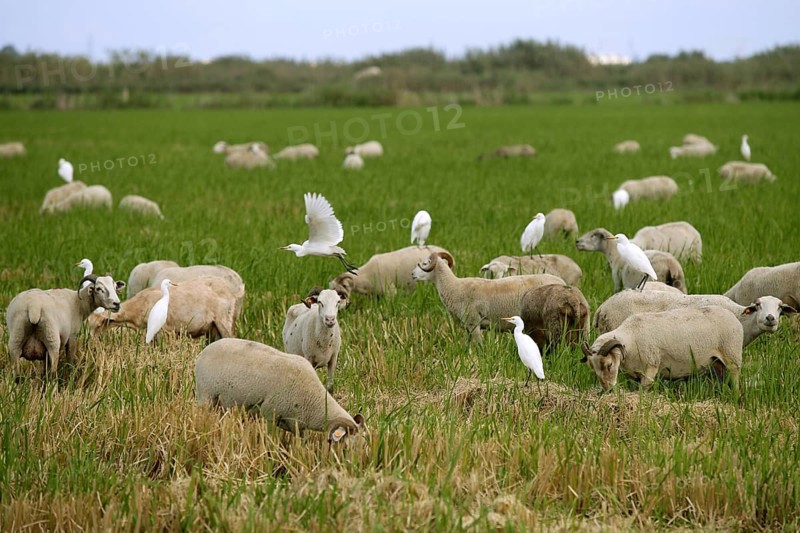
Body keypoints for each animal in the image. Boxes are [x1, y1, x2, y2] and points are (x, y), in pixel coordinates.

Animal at [88, 276, 238, 341]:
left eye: (98, 325)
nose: (91, 344)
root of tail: (230, 290)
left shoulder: (163, 331)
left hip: (225, 322)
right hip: (212, 329)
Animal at [411, 251, 564, 343]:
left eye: (425, 263)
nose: (412, 274)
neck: (454, 287)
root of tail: (564, 283)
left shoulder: (473, 323)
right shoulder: (468, 327)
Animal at [581, 306, 743, 392]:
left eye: (609, 365)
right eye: (593, 368)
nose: (607, 389)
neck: (631, 338)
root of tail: (733, 317)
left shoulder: (650, 368)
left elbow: (643, 391)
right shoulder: (636, 374)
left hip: (732, 356)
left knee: (735, 381)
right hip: (717, 363)